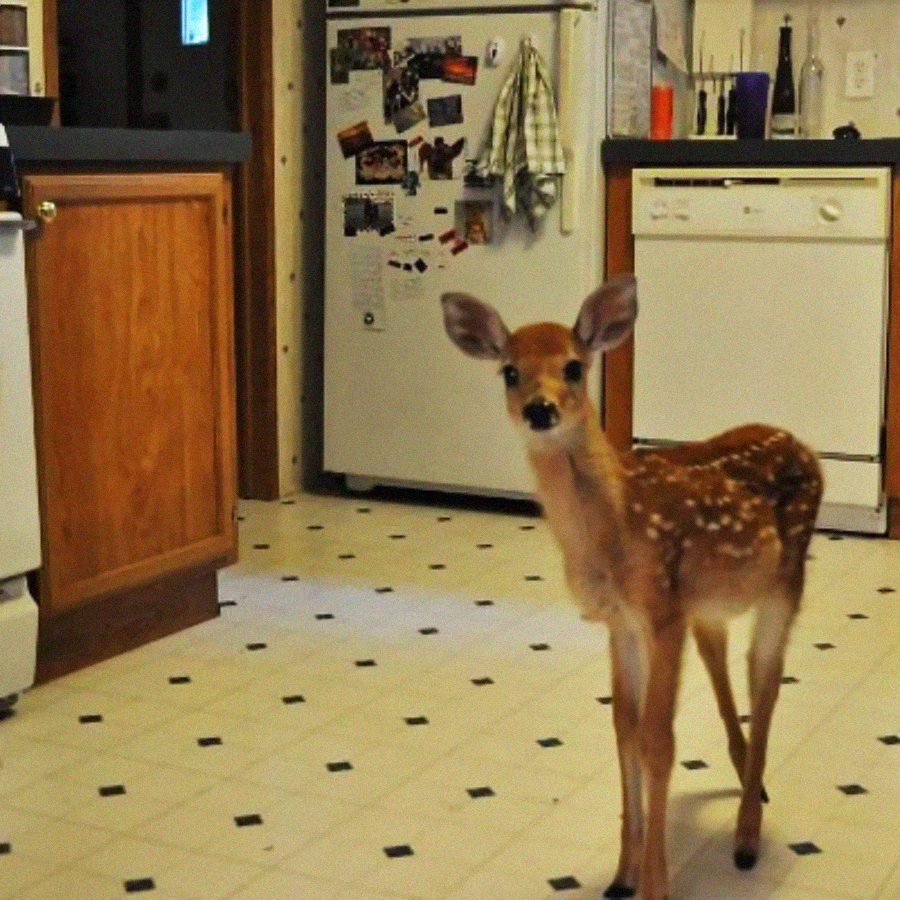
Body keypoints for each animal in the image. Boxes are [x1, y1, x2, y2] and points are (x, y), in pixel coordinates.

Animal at [441, 274, 823, 900]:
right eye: (509, 371)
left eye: (574, 366)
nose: (541, 409)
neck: (614, 528)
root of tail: (805, 445)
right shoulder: (622, 621)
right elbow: (623, 729)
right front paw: (623, 874)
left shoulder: (660, 613)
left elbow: (657, 740)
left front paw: (655, 885)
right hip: (707, 604)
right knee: (723, 660)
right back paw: (751, 779)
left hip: (786, 577)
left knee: (765, 680)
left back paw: (747, 835)